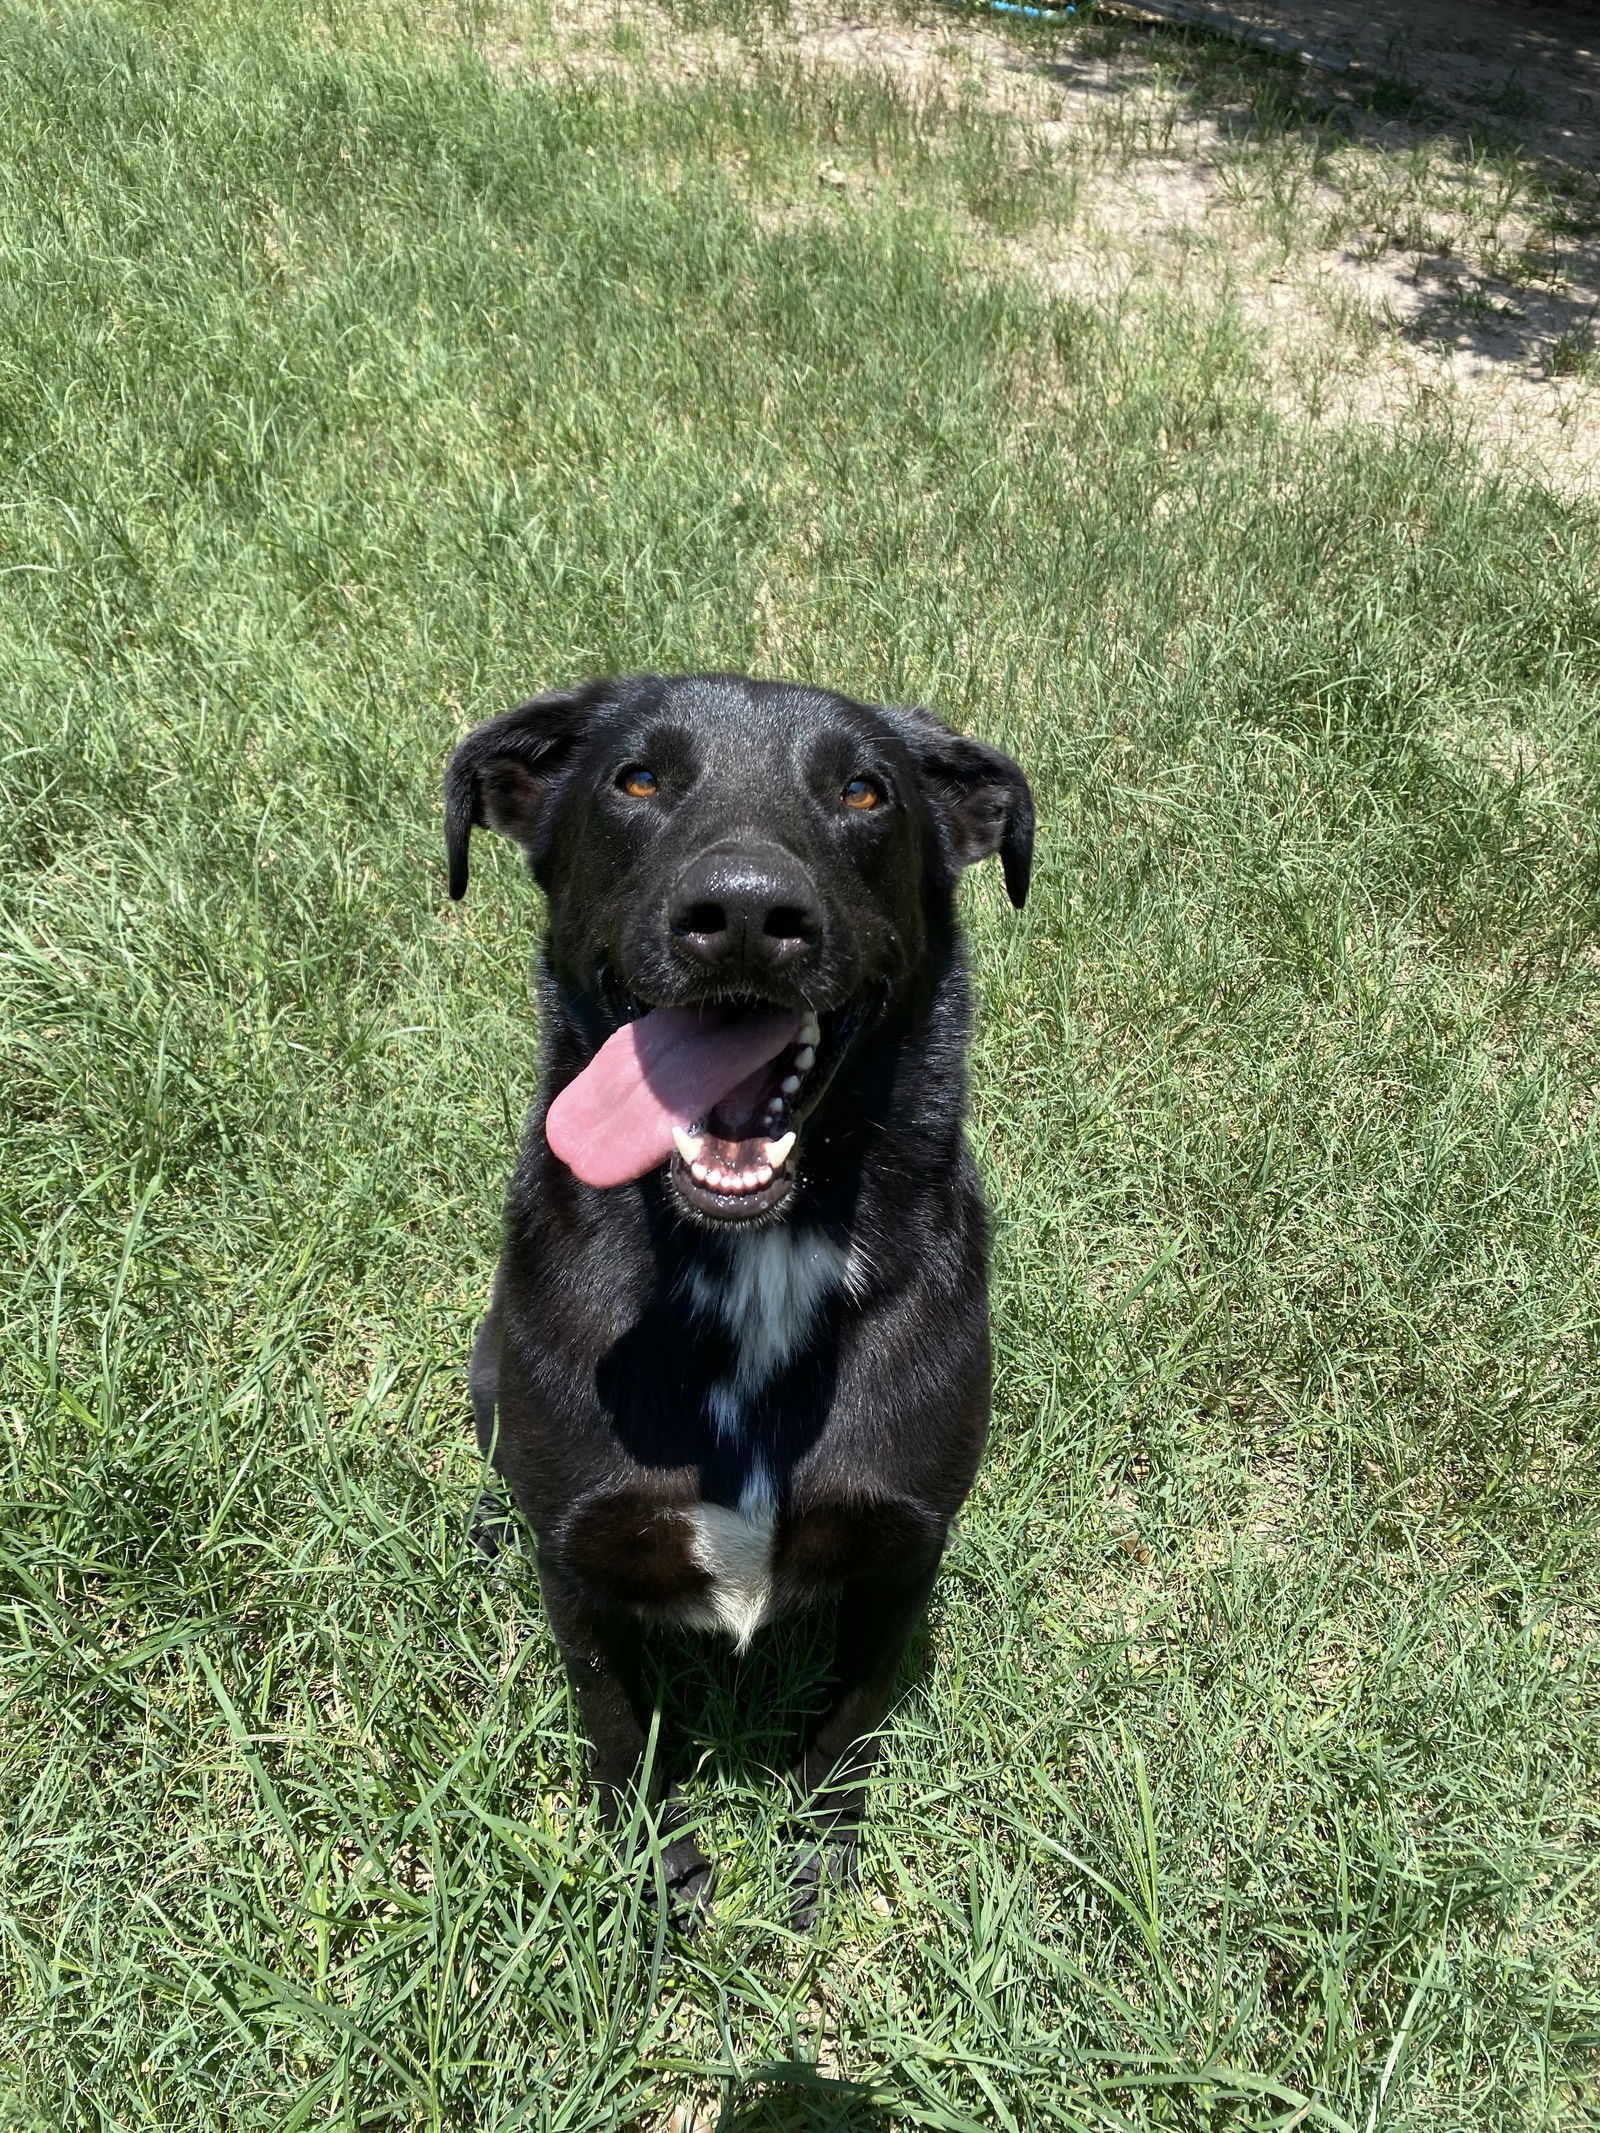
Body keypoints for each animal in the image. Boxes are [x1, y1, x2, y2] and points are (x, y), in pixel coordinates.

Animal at [445, 674, 1032, 1928]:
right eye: (636, 779)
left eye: (862, 790)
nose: (749, 916)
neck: (751, 1259)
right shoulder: (579, 1575)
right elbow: (621, 1736)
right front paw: (656, 1883)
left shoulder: (905, 1554)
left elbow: (849, 1725)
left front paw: (813, 1856)